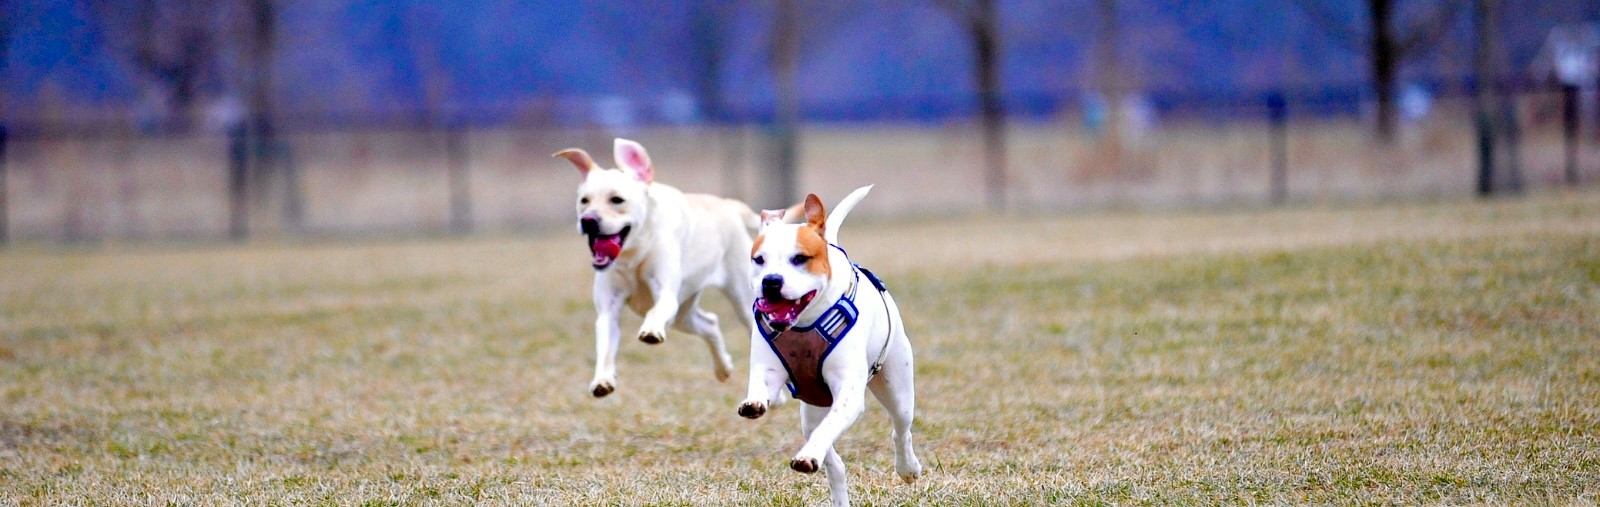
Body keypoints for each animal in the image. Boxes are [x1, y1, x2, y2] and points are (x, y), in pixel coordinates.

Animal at [556, 139, 761, 398]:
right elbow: (605, 345)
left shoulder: (666, 294)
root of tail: (726, 204)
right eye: (584, 201)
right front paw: (602, 380)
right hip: (682, 315)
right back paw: (723, 368)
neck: (633, 255)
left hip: (741, 299)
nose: (588, 220)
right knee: (710, 323)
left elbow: (655, 310)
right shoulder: (608, 310)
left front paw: (651, 330)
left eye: (617, 200)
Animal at [739, 185, 928, 505]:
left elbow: (831, 425)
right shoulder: (769, 369)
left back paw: (907, 468)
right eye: (759, 259)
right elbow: (761, 386)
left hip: (897, 387)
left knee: (900, 430)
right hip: (811, 411)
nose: (771, 281)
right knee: (834, 463)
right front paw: (754, 403)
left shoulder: (848, 393)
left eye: (800, 258)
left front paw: (808, 455)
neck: (805, 323)